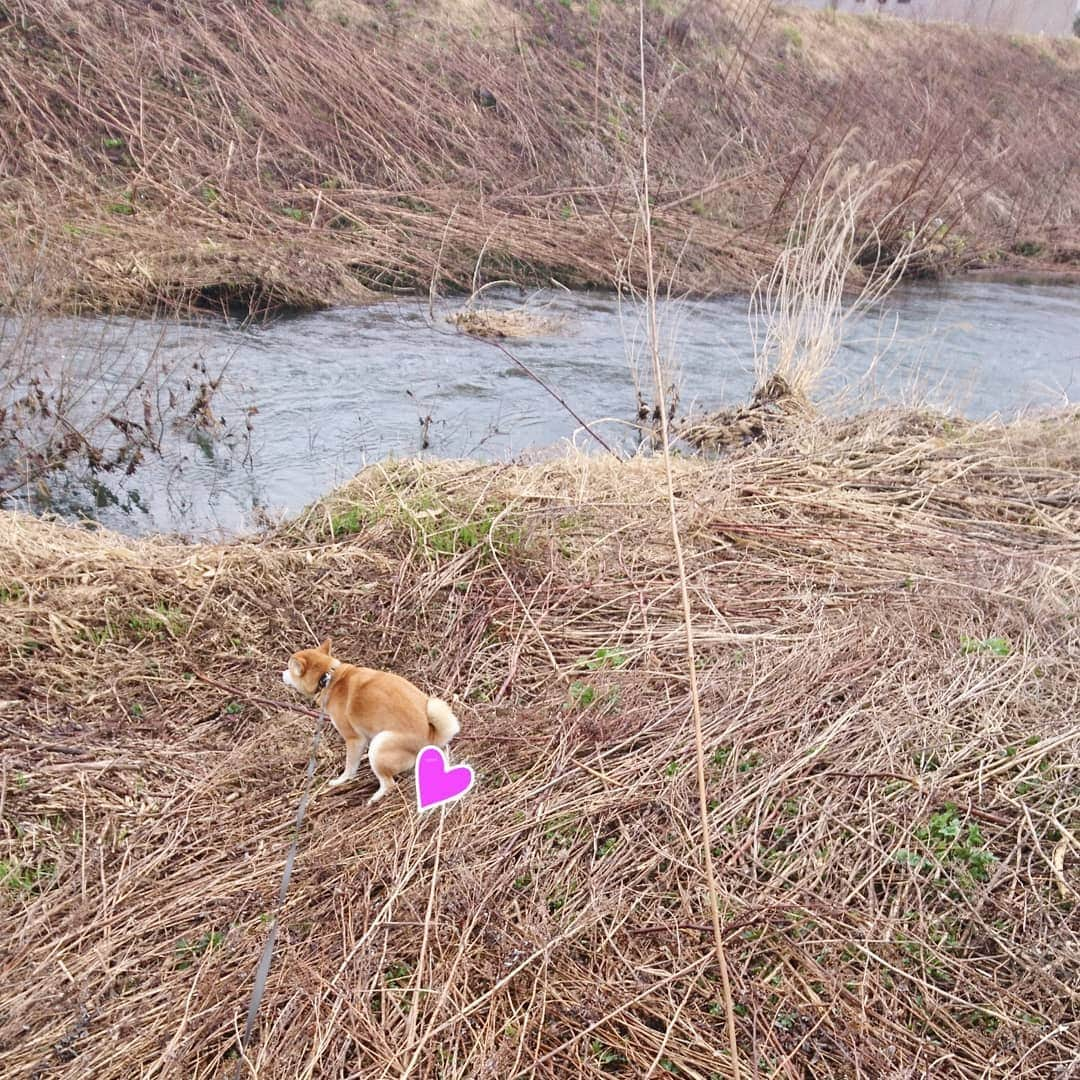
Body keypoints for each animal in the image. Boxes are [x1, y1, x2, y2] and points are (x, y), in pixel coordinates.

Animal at [278, 635, 460, 807]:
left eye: (289, 668)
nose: (281, 673)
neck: (328, 677)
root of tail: (431, 737)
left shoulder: (354, 739)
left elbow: (350, 767)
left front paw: (341, 780)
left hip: (379, 745)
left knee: (389, 784)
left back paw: (374, 798)